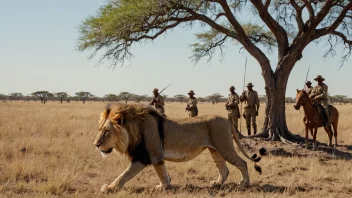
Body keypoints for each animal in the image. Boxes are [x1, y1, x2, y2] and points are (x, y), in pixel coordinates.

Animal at [95, 103, 266, 193]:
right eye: (100, 129)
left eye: (106, 131)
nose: (96, 145)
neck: (133, 130)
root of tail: (226, 119)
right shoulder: (152, 156)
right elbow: (163, 173)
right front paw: (165, 185)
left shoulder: (148, 156)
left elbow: (124, 175)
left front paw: (109, 188)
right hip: (215, 150)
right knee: (224, 169)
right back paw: (217, 184)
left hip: (224, 147)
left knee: (242, 163)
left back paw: (245, 183)